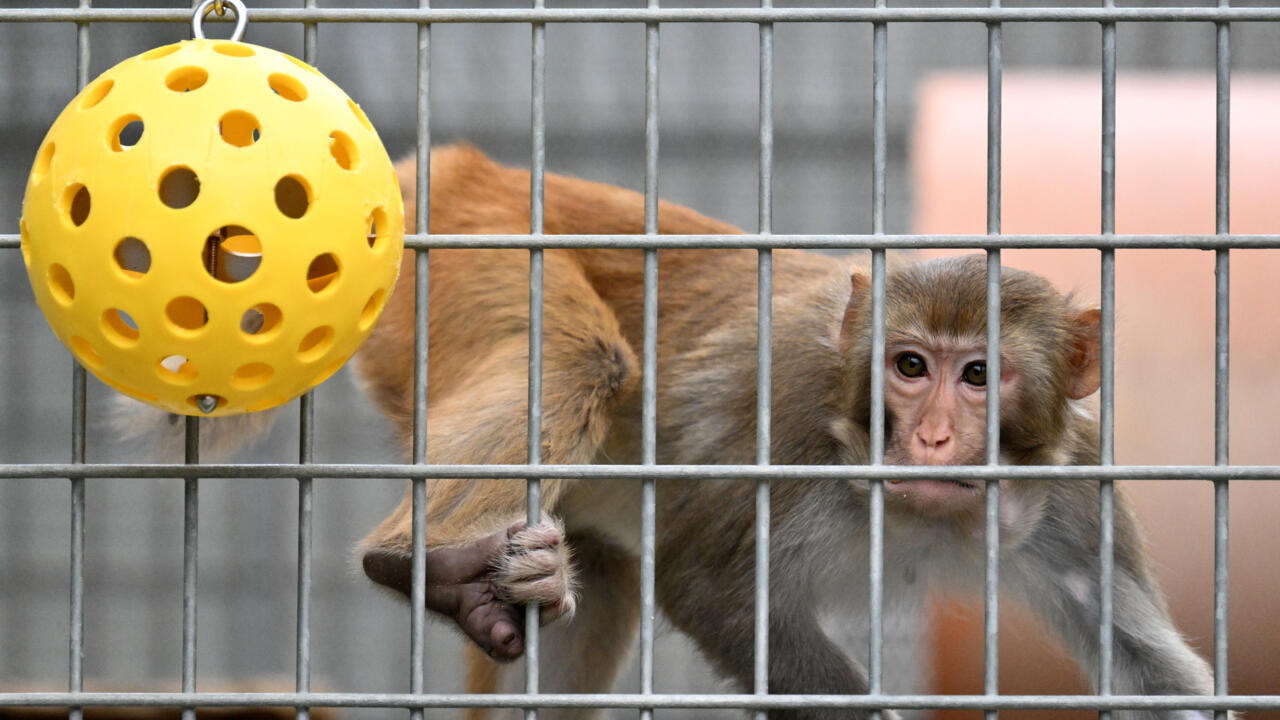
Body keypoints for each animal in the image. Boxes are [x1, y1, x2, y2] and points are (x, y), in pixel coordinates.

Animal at [348, 144, 1218, 720]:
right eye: (910, 365)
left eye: (978, 375)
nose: (933, 438)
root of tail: (458, 167)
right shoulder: (790, 426)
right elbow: (715, 592)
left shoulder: (1075, 491)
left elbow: (1153, 673)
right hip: (469, 243)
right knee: (579, 357)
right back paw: (425, 564)